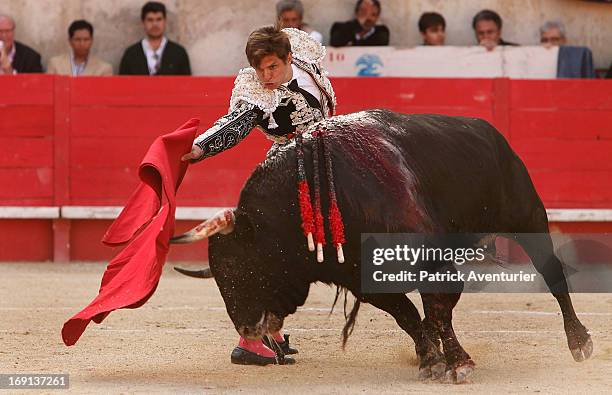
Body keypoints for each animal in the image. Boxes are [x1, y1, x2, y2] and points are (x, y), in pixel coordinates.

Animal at [172, 110, 592, 382]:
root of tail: (490, 132)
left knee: (554, 276)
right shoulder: (362, 280)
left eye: (245, 265)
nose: (247, 326)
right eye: (219, 278)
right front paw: (429, 359)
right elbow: (408, 315)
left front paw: (456, 362)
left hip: (528, 217)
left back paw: (580, 342)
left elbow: (437, 311)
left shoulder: (432, 261)